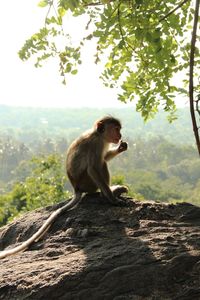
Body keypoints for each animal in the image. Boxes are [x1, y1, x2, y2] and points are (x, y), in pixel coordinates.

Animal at [0, 116, 128, 258]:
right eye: (116, 129)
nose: (120, 135)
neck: (98, 135)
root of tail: (76, 189)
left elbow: (104, 156)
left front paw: (121, 147)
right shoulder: (95, 145)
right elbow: (93, 168)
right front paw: (112, 199)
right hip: (87, 182)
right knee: (101, 164)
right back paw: (107, 194)